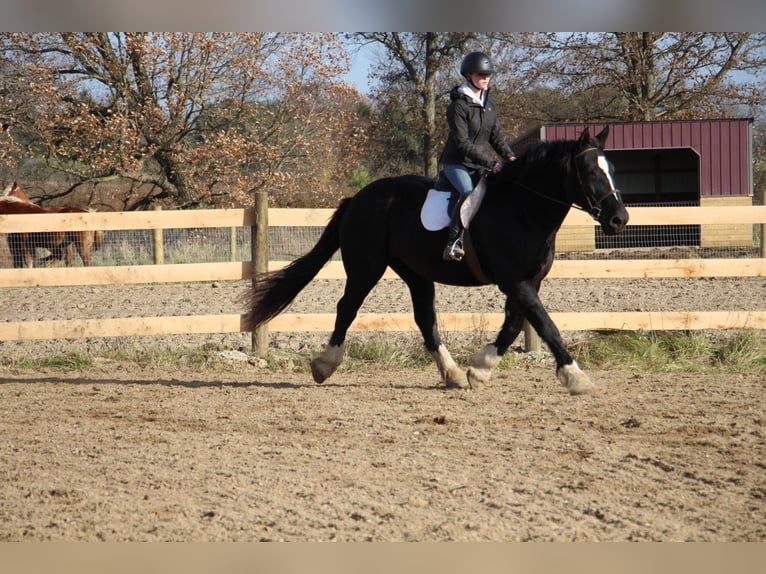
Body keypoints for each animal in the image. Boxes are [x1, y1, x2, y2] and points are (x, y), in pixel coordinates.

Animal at [246, 127, 632, 394]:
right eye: (591, 172)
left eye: (612, 169)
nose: (619, 220)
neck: (523, 209)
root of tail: (358, 197)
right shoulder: (517, 282)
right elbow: (546, 325)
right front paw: (575, 377)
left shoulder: (527, 282)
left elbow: (513, 325)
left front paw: (480, 368)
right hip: (366, 268)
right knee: (347, 308)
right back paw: (324, 365)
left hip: (416, 273)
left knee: (425, 319)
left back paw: (453, 374)